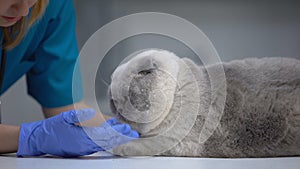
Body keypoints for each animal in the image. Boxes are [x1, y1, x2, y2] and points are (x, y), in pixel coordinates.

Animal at [108, 49, 300, 158]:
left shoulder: (170, 139)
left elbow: (136, 145)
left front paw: (113, 144)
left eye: (126, 102)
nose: (117, 115)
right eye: (113, 105)